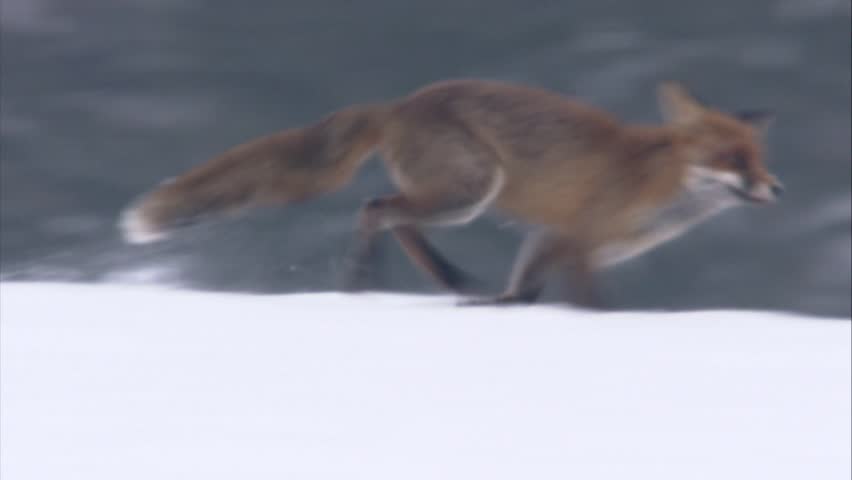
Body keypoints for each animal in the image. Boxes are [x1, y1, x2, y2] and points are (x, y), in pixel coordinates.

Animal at [118, 79, 783, 307]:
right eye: (732, 160)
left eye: (760, 157)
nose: (777, 186)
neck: (661, 189)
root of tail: (399, 103)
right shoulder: (578, 239)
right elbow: (591, 305)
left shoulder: (551, 238)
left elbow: (524, 293)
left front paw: (499, 305)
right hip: (468, 192)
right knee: (377, 210)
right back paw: (364, 280)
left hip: (455, 195)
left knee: (394, 218)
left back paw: (446, 280)